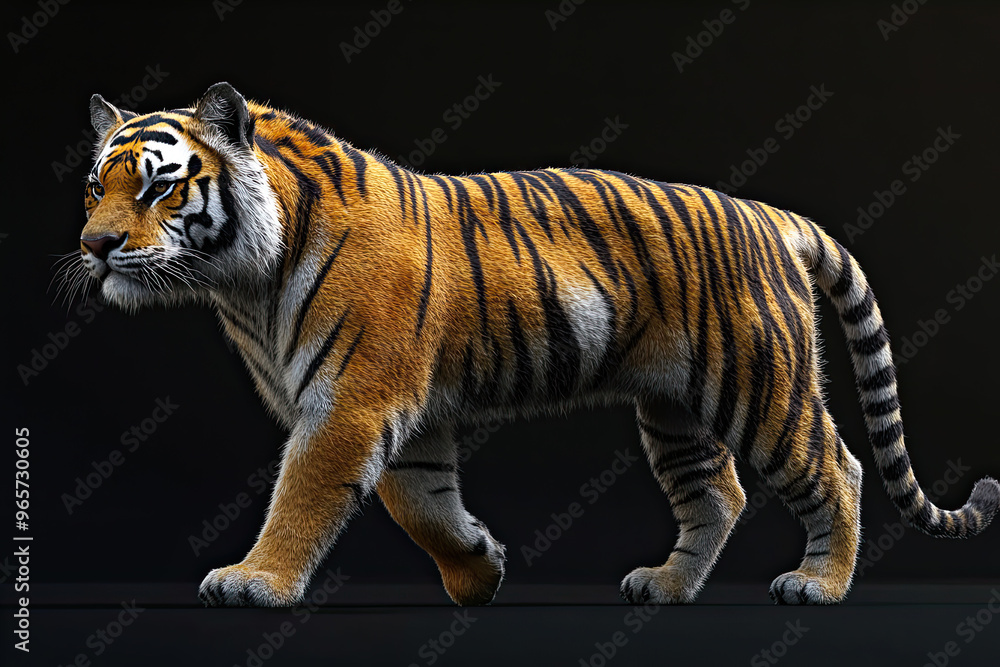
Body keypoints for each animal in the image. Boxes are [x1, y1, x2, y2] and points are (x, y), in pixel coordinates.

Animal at [68, 81, 999, 607]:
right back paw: (666, 587)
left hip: (759, 384)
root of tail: (771, 214)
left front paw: (253, 581)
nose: (95, 246)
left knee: (836, 467)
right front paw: (480, 570)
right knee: (719, 493)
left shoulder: (350, 401)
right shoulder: (405, 411)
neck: (243, 283)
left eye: (157, 186)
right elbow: (421, 502)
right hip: (674, 409)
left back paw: (820, 585)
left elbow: (302, 495)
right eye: (92, 188)